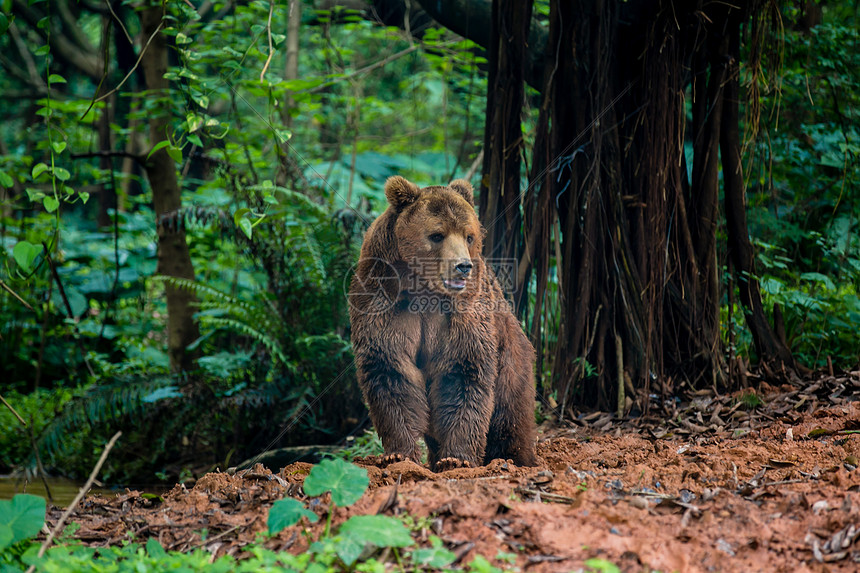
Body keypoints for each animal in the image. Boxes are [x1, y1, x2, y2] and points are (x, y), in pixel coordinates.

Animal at [350, 177, 536, 472]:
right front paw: (397, 454)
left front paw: (457, 458)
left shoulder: (464, 312)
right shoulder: (382, 299)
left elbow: (463, 372)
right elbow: (390, 370)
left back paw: (512, 457)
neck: (423, 288)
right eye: (437, 235)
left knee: (510, 414)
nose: (462, 266)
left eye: (469, 235)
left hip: (512, 359)